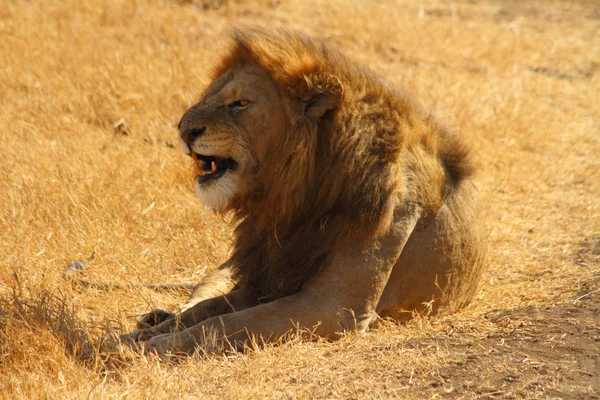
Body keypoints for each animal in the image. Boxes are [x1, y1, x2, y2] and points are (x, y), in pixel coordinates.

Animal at [124, 27, 486, 354]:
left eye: (240, 103)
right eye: (207, 98)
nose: (184, 130)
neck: (302, 191)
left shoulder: (333, 304)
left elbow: (228, 322)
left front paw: (157, 346)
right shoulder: (267, 276)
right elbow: (206, 310)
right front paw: (137, 338)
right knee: (196, 296)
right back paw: (154, 318)